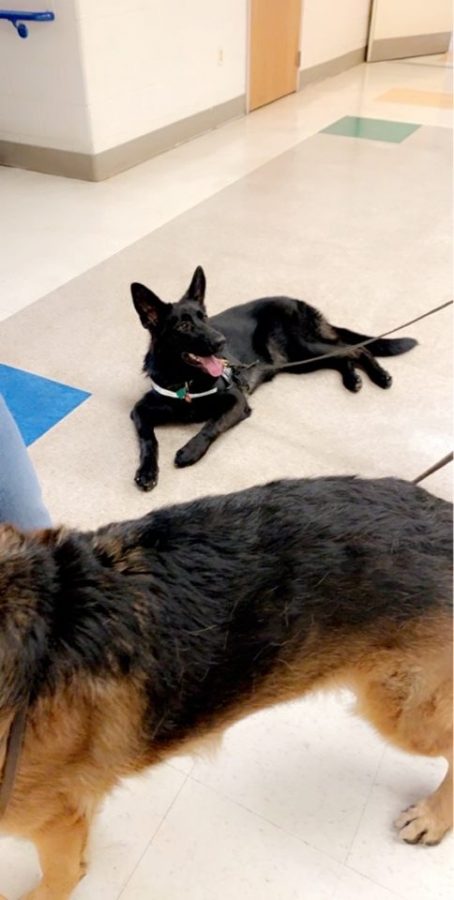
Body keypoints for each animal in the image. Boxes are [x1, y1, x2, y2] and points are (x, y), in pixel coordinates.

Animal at [129, 268, 416, 492]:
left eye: (205, 317)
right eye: (184, 326)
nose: (221, 342)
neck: (185, 380)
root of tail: (295, 300)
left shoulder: (236, 401)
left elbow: (211, 426)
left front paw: (190, 450)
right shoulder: (139, 410)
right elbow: (148, 439)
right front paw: (146, 471)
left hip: (304, 348)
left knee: (356, 349)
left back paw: (379, 375)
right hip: (300, 361)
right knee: (342, 355)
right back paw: (352, 378)